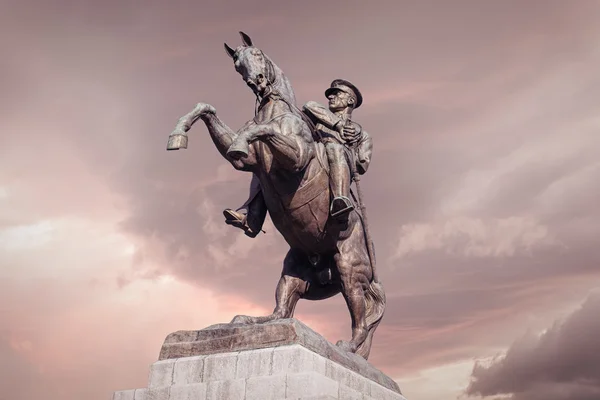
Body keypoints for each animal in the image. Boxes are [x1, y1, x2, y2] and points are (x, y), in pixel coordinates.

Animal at [166, 32, 386, 360]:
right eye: (236, 63)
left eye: (258, 54)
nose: (257, 82)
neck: (276, 110)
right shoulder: (249, 165)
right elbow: (208, 110)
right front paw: (178, 134)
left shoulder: (297, 157)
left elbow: (263, 130)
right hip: (292, 270)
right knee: (282, 311)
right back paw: (247, 320)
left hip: (348, 267)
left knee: (360, 315)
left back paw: (350, 348)